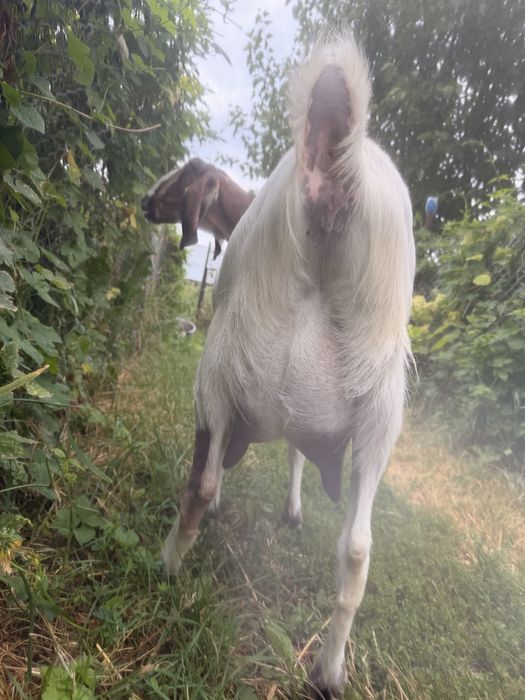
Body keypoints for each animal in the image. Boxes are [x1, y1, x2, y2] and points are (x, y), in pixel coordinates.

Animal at [162, 37, 415, 698]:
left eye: (181, 179)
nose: (146, 203)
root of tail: (333, 173)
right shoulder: (311, 412)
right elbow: (301, 453)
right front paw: (296, 512)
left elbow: (239, 466)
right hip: (381, 413)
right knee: (357, 549)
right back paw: (328, 671)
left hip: (218, 364)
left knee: (198, 484)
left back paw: (167, 564)